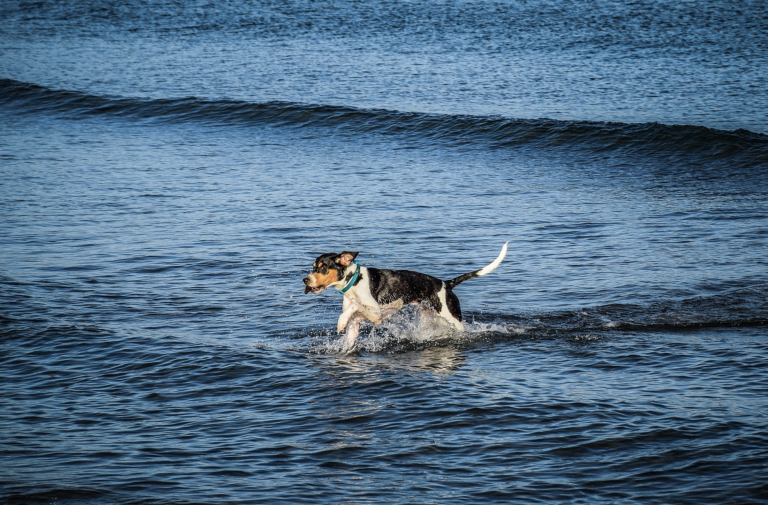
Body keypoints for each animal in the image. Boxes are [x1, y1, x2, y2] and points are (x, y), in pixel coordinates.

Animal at [304, 242, 508, 352]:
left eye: (323, 267)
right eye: (313, 267)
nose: (305, 280)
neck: (353, 282)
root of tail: (446, 283)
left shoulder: (377, 313)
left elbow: (355, 307)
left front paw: (340, 322)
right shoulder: (357, 323)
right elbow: (351, 324)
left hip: (453, 319)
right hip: (429, 317)